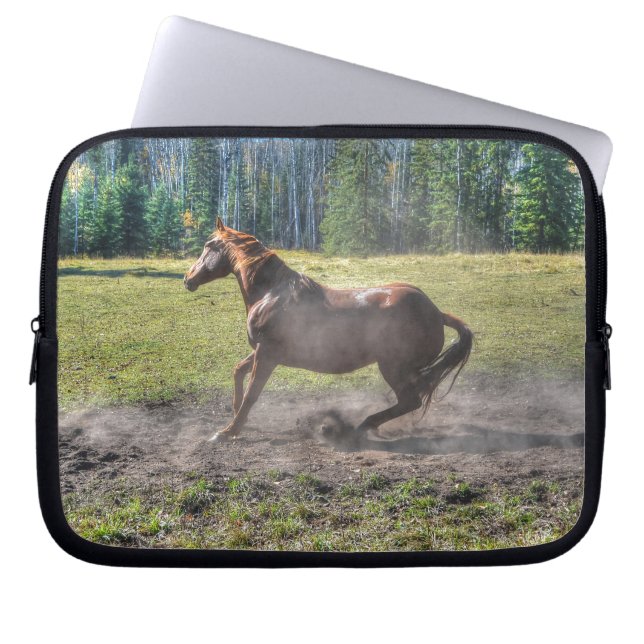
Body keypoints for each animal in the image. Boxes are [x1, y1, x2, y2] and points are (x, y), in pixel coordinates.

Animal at [184, 218, 473, 442]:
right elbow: (238, 372)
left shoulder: (267, 354)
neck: (270, 294)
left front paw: (227, 432)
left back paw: (359, 427)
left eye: (209, 246)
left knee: (410, 401)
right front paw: (235, 417)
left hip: (393, 367)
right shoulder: (261, 351)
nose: (188, 279)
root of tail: (437, 314)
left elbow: (252, 394)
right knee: (411, 400)